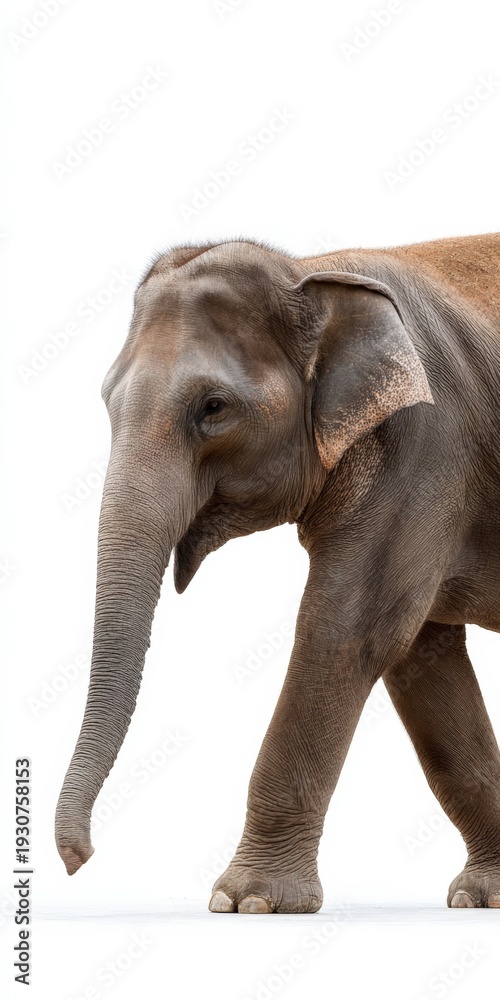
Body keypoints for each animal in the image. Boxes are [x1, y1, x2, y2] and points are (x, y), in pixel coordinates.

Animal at [55, 232, 500, 913]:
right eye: (108, 401)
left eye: (213, 408)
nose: (79, 860)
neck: (309, 272)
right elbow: (418, 653)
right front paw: (484, 895)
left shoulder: (425, 444)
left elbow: (349, 630)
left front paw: (250, 902)